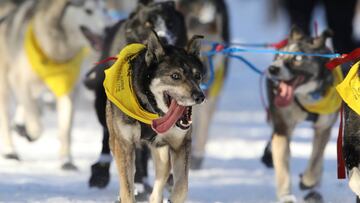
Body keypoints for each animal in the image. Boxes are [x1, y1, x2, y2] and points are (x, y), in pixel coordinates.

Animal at [107, 30, 205, 202]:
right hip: (115, 141)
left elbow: (182, 188)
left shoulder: (181, 144)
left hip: (162, 152)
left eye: (197, 75)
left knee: (160, 180)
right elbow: (127, 188)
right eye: (175, 76)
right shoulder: (124, 145)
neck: (152, 112)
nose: (200, 96)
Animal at [266, 26, 338, 202]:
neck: (306, 97)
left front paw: (308, 181)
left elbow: (315, 159)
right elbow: (282, 165)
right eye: (279, 56)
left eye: (297, 58)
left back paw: (314, 189)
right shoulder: (282, 129)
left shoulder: (323, 129)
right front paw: (286, 195)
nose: (272, 68)